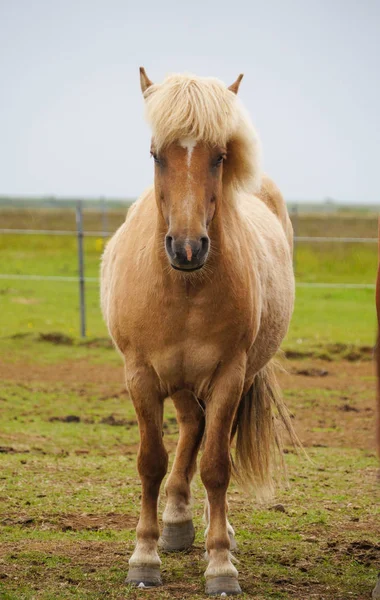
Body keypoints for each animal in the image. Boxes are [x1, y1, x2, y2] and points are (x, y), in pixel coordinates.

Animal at [102, 69, 298, 596]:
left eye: (220, 157)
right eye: (156, 153)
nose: (188, 248)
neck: (186, 285)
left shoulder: (229, 376)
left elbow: (216, 466)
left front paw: (221, 564)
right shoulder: (141, 375)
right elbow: (151, 462)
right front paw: (145, 557)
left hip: (229, 378)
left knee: (209, 438)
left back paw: (214, 527)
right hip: (181, 380)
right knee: (191, 427)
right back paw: (174, 523)